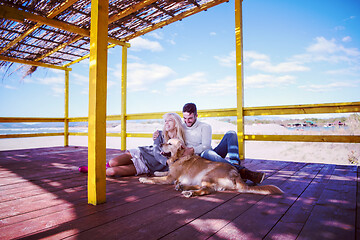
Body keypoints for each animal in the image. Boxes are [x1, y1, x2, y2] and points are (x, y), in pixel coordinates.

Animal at [139, 138, 282, 198]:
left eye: (169, 143)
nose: (160, 144)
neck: (179, 157)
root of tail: (235, 173)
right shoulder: (170, 175)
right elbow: (160, 174)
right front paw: (155, 172)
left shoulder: (170, 178)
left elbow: (156, 179)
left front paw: (144, 179)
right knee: (204, 187)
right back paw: (183, 187)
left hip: (207, 175)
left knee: (206, 190)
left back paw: (188, 192)